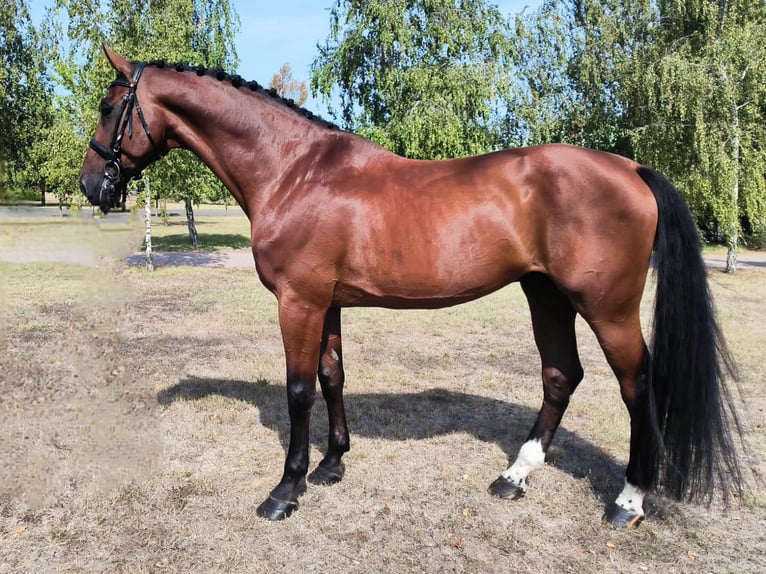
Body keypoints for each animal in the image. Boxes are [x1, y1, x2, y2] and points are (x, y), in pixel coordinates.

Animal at [79, 47, 744, 528]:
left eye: (111, 108)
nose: (91, 186)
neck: (294, 171)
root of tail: (630, 167)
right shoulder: (327, 303)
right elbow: (332, 377)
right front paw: (332, 466)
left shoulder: (299, 301)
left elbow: (298, 391)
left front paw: (286, 490)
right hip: (546, 295)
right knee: (561, 376)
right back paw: (514, 477)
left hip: (607, 308)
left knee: (636, 386)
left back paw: (629, 501)